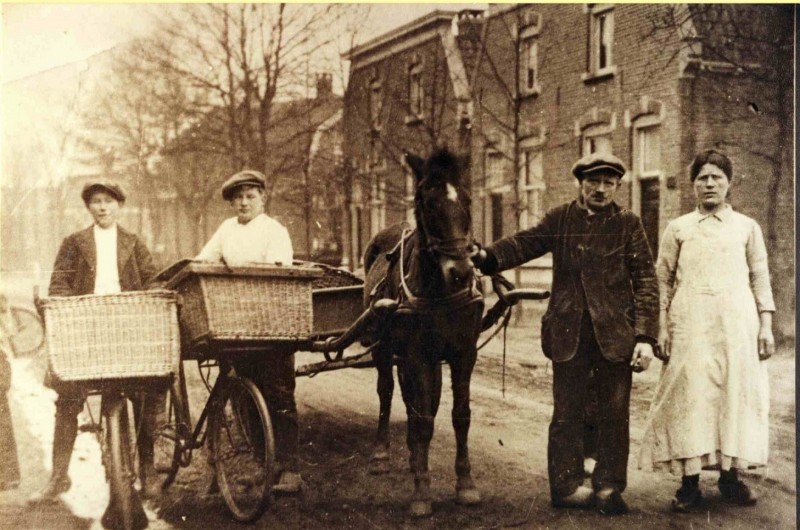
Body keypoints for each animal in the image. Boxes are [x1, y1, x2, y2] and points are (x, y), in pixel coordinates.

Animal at [364, 148, 488, 516]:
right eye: (428, 204)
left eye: (466, 200)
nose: (461, 271)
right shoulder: (415, 354)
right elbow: (421, 420)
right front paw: (421, 490)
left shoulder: (463, 354)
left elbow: (459, 416)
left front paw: (465, 483)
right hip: (383, 348)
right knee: (388, 391)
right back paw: (383, 453)